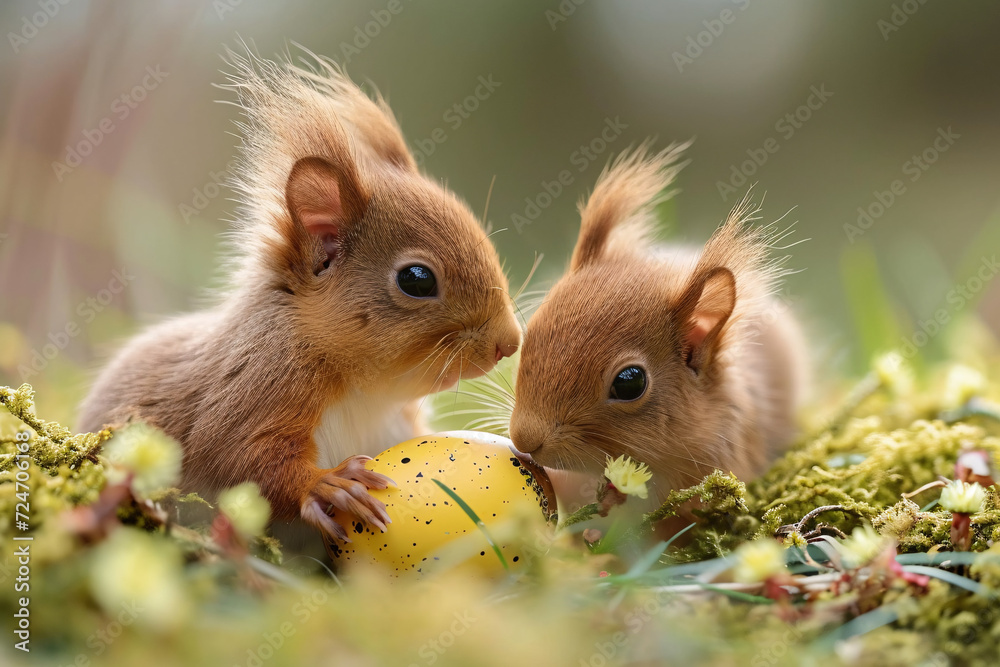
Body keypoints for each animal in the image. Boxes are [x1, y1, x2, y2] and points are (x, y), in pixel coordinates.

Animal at [77, 47, 521, 543]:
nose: (510, 342)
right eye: (417, 279)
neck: (364, 393)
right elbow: (238, 458)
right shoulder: (257, 382)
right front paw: (330, 485)